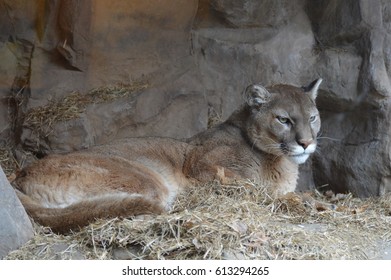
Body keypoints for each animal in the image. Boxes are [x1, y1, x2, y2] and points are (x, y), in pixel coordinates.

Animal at [13, 78, 324, 232]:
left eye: (312, 118)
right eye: (284, 120)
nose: (306, 143)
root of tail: (21, 175)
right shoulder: (202, 166)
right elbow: (254, 187)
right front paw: (304, 201)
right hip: (144, 180)